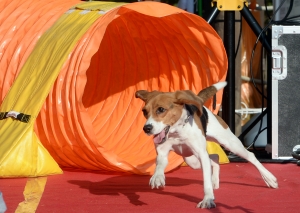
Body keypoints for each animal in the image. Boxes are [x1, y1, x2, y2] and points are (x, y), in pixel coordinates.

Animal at [135, 81, 278, 208]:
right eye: (144, 112)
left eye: (161, 109)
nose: (146, 128)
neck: (177, 132)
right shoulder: (163, 153)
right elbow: (160, 164)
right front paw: (157, 177)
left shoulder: (201, 154)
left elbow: (206, 182)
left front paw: (208, 199)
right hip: (191, 159)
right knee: (215, 157)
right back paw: (215, 180)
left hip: (231, 144)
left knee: (251, 156)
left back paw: (269, 178)